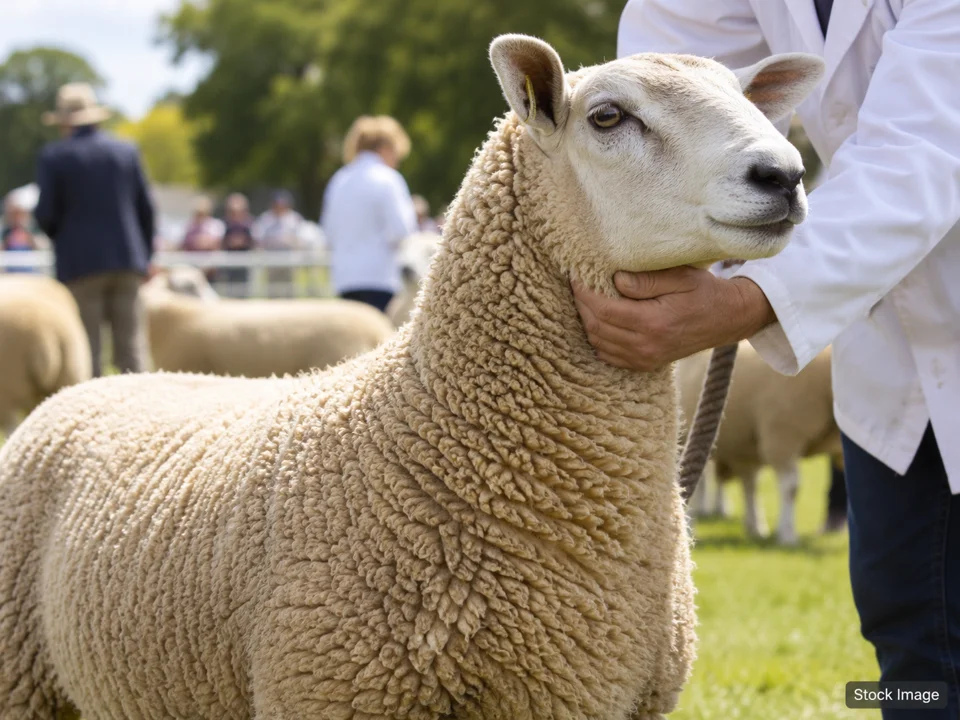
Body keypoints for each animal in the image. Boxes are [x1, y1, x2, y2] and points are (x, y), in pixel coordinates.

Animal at [679, 342, 840, 546]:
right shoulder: (782, 439)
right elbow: (791, 488)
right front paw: (788, 535)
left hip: (744, 446)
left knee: (749, 485)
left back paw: (755, 527)